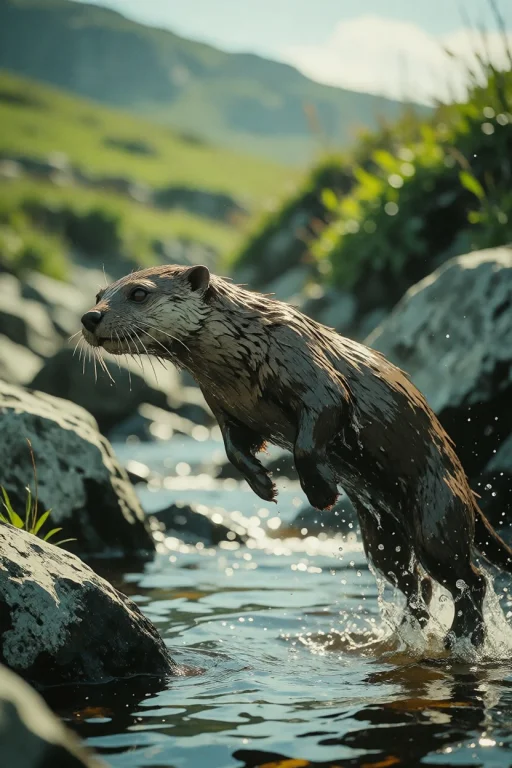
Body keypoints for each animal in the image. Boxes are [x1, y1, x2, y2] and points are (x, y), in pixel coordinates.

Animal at [81, 264, 512, 647]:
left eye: (139, 293)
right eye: (99, 294)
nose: (90, 316)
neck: (244, 350)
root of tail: (466, 484)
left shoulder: (313, 375)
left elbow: (313, 433)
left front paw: (321, 492)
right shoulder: (222, 406)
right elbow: (234, 449)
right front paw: (263, 485)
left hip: (436, 512)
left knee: (470, 577)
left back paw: (463, 637)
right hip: (383, 534)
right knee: (413, 578)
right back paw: (410, 631)